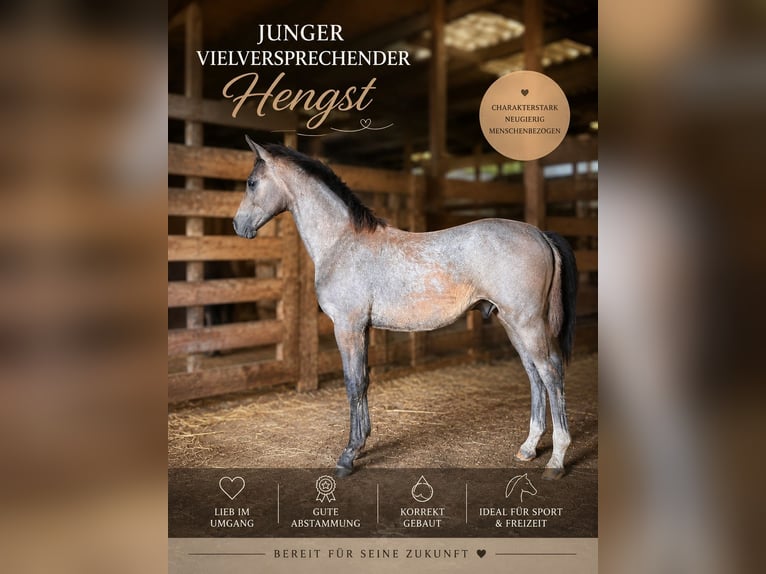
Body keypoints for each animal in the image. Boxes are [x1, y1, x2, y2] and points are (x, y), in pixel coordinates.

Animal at [233, 135, 578, 480]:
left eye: (251, 183)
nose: (238, 225)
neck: (342, 242)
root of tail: (540, 233)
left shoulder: (347, 326)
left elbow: (353, 384)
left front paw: (348, 456)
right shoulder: (363, 329)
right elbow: (365, 382)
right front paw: (362, 443)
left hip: (527, 323)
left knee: (551, 372)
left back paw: (556, 460)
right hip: (512, 323)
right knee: (534, 375)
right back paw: (529, 448)